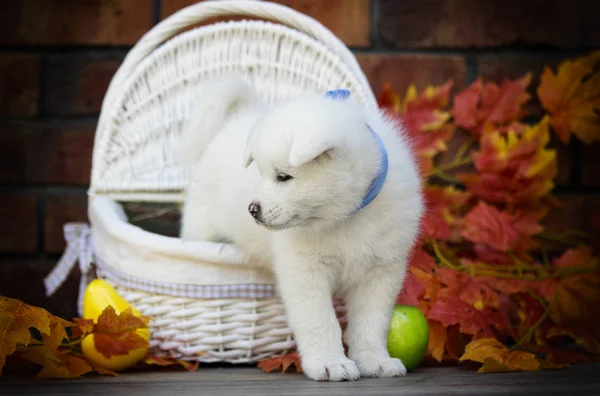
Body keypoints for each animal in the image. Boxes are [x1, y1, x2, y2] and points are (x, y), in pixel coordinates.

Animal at [180, 76, 424, 380]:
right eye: (260, 173)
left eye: (284, 177)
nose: (252, 210)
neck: (347, 215)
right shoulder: (305, 272)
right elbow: (320, 321)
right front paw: (330, 363)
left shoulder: (381, 271)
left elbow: (372, 322)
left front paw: (375, 361)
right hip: (200, 227)